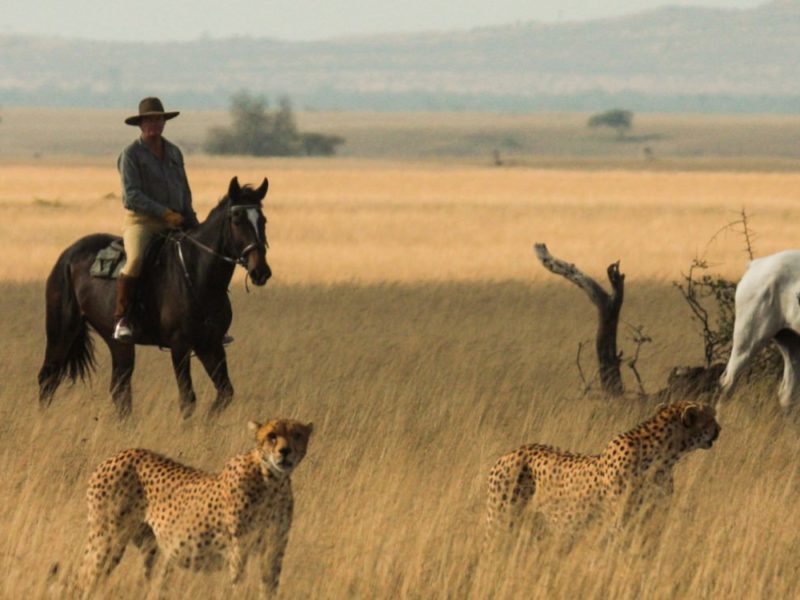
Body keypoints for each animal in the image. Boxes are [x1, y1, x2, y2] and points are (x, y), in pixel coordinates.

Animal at [39, 176, 272, 420]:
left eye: (263, 220)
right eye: (237, 219)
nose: (260, 272)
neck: (197, 274)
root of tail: (68, 255)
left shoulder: (210, 344)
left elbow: (225, 392)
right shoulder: (180, 346)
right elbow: (188, 399)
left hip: (117, 342)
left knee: (120, 388)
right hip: (62, 331)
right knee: (48, 377)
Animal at [76, 418, 312, 596]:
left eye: (297, 435)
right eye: (272, 436)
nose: (285, 451)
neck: (272, 482)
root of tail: (116, 455)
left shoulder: (274, 546)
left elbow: (269, 586)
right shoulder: (238, 548)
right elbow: (238, 584)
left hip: (150, 548)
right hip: (108, 539)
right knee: (86, 579)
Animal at [484, 400, 720, 540]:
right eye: (711, 418)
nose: (719, 428)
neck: (665, 455)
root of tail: (508, 454)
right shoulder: (620, 525)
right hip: (500, 520)